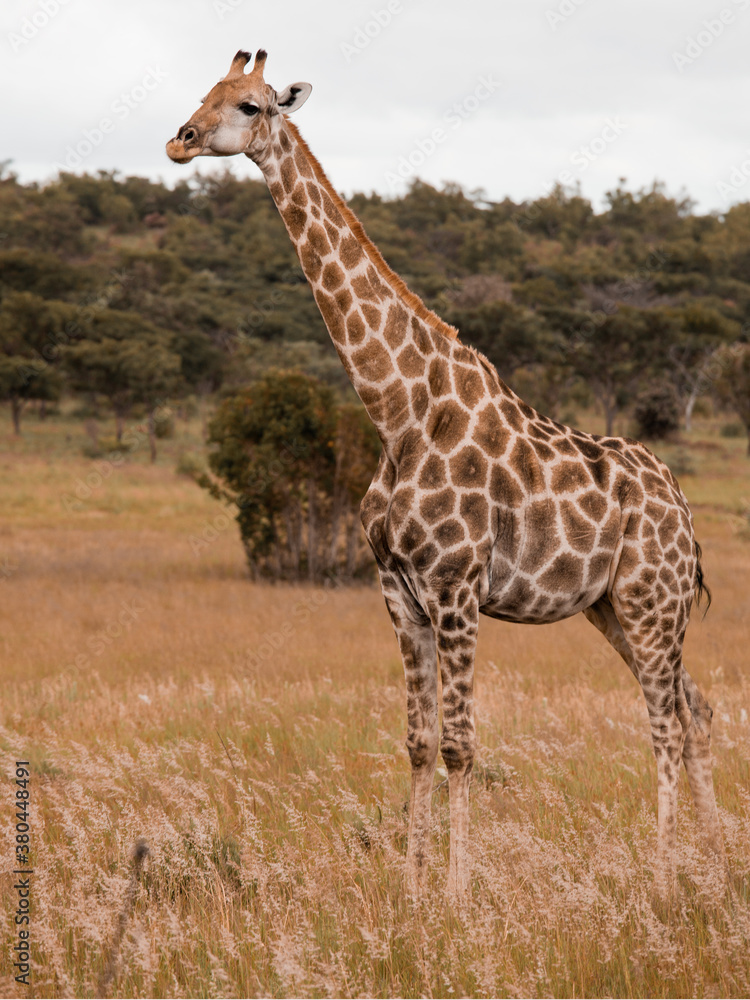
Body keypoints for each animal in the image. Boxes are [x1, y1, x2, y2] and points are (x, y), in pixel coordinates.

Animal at [167, 50, 726, 898]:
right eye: (204, 92)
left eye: (252, 105)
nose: (182, 139)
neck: (397, 411)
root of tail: (684, 516)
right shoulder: (398, 591)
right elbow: (418, 742)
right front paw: (411, 886)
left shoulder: (458, 587)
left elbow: (463, 744)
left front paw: (459, 893)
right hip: (617, 610)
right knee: (691, 710)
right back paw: (714, 865)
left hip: (649, 602)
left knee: (665, 721)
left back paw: (664, 877)